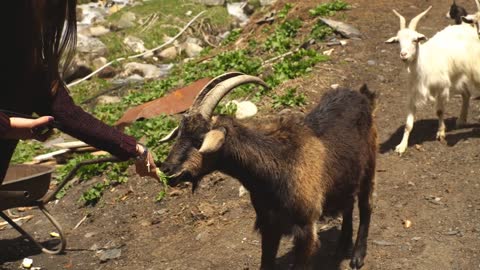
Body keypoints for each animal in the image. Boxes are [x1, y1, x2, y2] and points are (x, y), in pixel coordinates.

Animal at [159, 73, 376, 268]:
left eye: (199, 140)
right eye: (179, 135)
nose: (167, 170)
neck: (276, 166)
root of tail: (362, 95)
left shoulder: (306, 229)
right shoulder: (269, 224)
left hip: (369, 165)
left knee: (365, 207)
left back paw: (357, 257)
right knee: (348, 204)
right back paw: (342, 247)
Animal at [384, 5, 480, 154]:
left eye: (415, 40)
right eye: (398, 41)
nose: (403, 54)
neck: (423, 65)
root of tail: (467, 26)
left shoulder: (441, 88)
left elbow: (439, 111)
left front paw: (441, 133)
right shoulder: (413, 93)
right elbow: (408, 124)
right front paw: (401, 146)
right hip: (458, 75)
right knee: (466, 94)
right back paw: (461, 120)